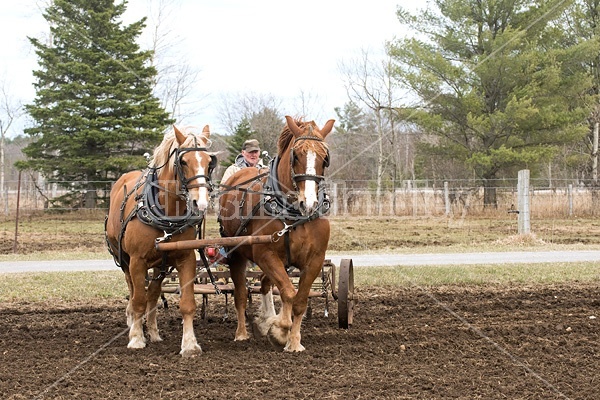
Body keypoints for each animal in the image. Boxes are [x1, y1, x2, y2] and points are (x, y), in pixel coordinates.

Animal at [106, 125, 217, 356]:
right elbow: (138, 300)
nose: (200, 202)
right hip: (125, 261)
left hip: (160, 265)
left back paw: (154, 332)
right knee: (134, 293)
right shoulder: (137, 261)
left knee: (154, 295)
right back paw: (134, 324)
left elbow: (187, 303)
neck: (167, 212)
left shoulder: (186, 258)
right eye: (183, 162)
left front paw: (189, 345)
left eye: (208, 161)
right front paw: (136, 338)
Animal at [218, 115, 336, 350]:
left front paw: (294, 341)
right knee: (241, 294)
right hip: (236, 254)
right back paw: (242, 333)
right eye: (296, 155)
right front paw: (280, 330)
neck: (295, 215)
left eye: (324, 157)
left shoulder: (315, 260)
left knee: (265, 284)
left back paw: (265, 320)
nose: (309, 203)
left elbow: (299, 300)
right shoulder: (266, 255)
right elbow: (288, 293)